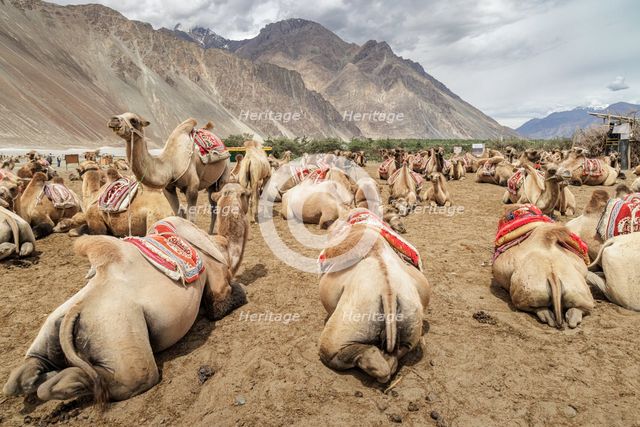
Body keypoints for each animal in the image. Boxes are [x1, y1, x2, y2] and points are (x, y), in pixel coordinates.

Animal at [3, 217, 247, 404]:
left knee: (29, 366)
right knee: (132, 378)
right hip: (116, 325)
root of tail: (78, 310)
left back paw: (39, 378)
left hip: (62, 317)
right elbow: (224, 301)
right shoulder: (215, 275)